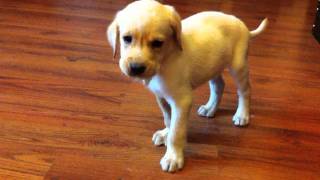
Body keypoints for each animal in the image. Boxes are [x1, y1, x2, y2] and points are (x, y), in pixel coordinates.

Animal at [107, 0, 268, 173]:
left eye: (157, 43)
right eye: (126, 38)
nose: (136, 68)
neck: (165, 60)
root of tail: (243, 26)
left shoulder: (182, 101)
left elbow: (176, 131)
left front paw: (173, 157)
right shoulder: (161, 96)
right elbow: (168, 119)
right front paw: (165, 134)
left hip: (238, 66)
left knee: (245, 91)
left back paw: (242, 115)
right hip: (212, 67)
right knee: (219, 85)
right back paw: (210, 109)